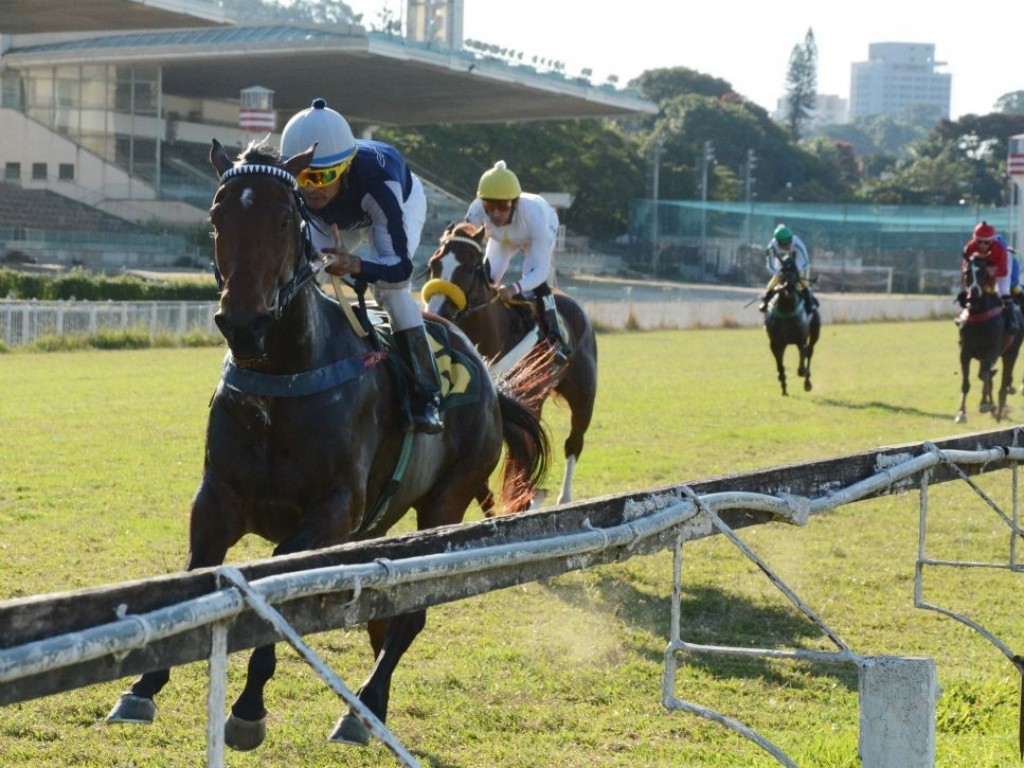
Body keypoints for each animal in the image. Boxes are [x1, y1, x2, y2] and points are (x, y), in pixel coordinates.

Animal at [105, 141, 552, 753]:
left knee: (411, 613)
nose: (242, 323)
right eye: (218, 216)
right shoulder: (216, 500)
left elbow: (279, 579)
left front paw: (248, 707)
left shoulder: (335, 511)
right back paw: (371, 706)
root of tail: (486, 375)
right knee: (386, 609)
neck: (286, 374)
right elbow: (196, 578)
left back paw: (361, 708)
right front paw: (142, 688)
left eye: (283, 220)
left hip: (446, 499)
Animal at [419, 222, 598, 505]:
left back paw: (564, 497)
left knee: (574, 442)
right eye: (434, 263)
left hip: (583, 396)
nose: (436, 310)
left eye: (470, 267)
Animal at [765, 256, 819, 397]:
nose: (788, 287)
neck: (786, 309)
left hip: (814, 334)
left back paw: (807, 381)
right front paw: (783, 384)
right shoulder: (775, 342)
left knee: (810, 352)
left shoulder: (801, 340)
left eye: (795, 271)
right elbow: (780, 365)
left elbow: (802, 361)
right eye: (782, 271)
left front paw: (804, 373)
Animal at [954, 253, 1019, 423]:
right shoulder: (965, 352)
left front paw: (984, 404)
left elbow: (986, 374)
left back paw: (999, 410)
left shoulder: (992, 351)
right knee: (989, 377)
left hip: (1011, 353)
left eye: (983, 272)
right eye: (967, 272)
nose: (974, 292)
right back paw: (994, 407)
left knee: (1003, 382)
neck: (979, 313)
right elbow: (967, 383)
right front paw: (961, 413)